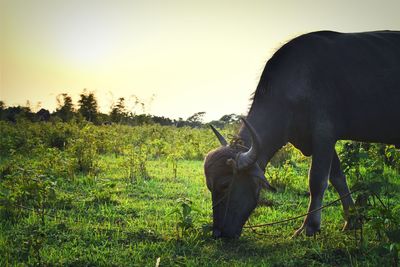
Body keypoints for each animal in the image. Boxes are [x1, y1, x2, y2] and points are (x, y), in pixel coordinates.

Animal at [205, 30, 398, 239]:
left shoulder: (324, 134)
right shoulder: (313, 141)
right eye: (210, 187)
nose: (218, 232)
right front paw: (352, 219)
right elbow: (337, 178)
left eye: (225, 185)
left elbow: (317, 180)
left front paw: (309, 226)